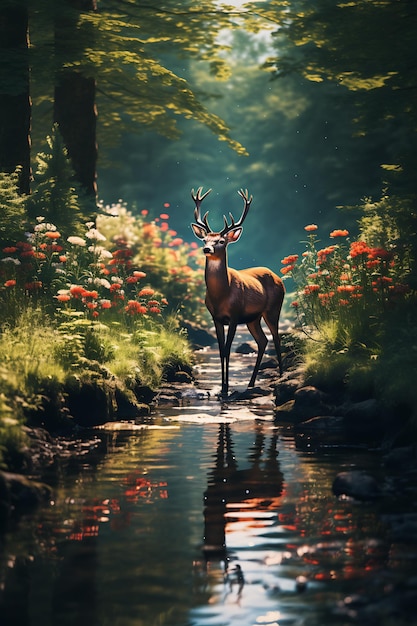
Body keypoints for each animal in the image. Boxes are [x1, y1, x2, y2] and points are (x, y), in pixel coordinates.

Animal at [190, 184, 284, 394]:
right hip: (253, 318)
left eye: (221, 241)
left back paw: (281, 376)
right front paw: (222, 387)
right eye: (204, 240)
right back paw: (250, 383)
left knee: (276, 339)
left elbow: (227, 349)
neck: (221, 295)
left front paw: (225, 388)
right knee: (262, 341)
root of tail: (277, 276)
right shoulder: (216, 318)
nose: (207, 249)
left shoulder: (234, 315)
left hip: (273, 309)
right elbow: (220, 350)